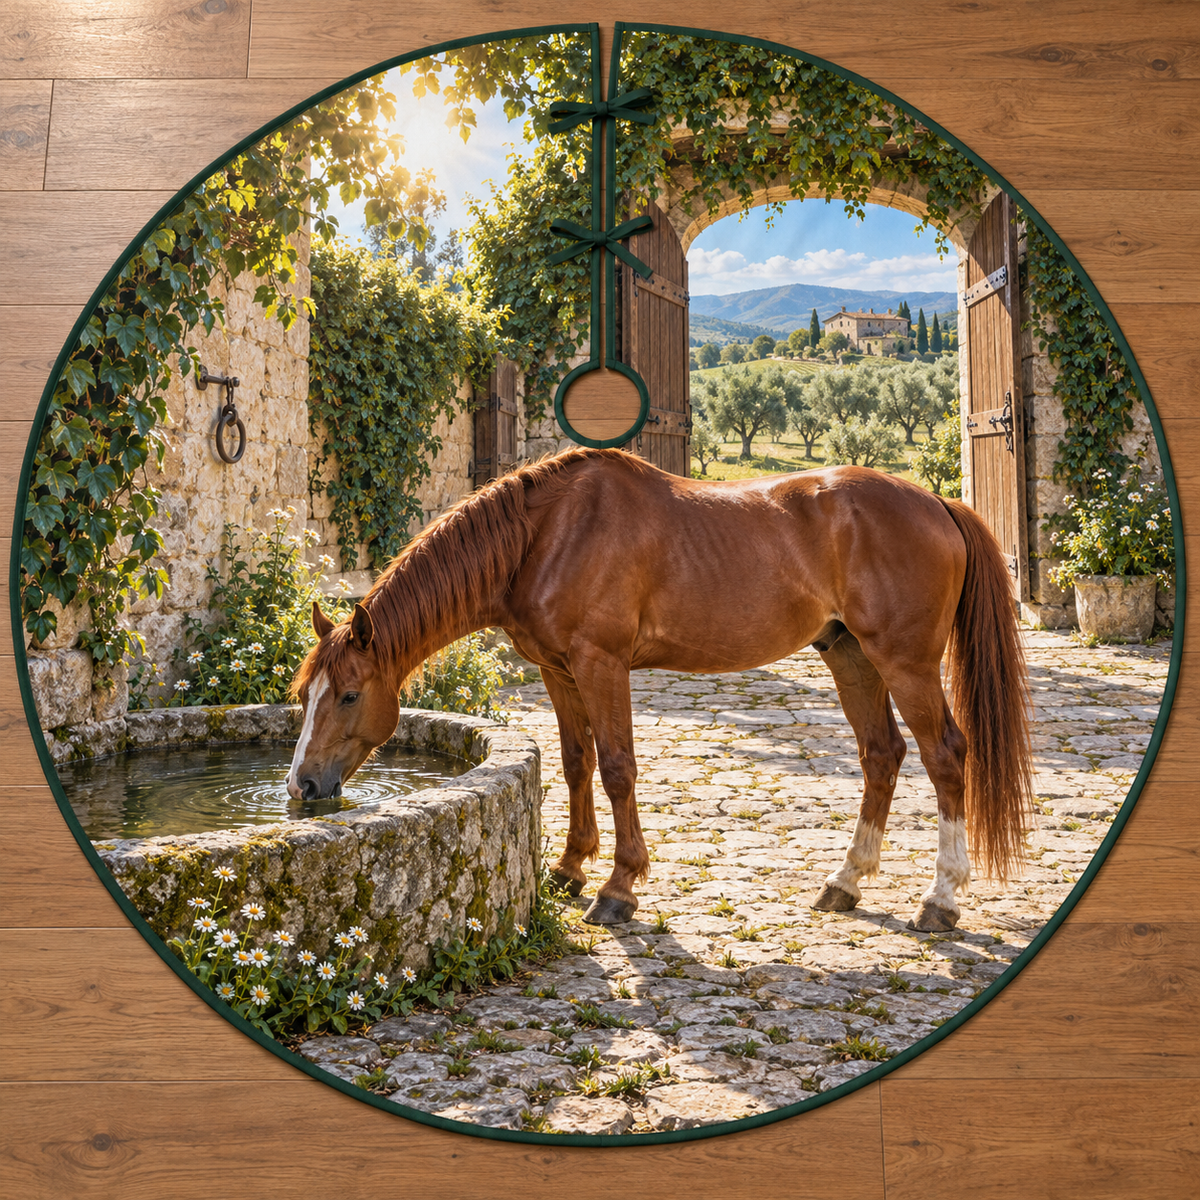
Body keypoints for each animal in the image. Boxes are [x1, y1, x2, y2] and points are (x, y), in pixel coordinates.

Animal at [288, 446, 1032, 933]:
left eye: (348, 695)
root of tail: (937, 501)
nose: (301, 785)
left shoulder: (601, 664)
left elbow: (618, 768)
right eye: (303, 696)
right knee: (882, 755)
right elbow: (576, 763)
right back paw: (843, 883)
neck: (548, 532)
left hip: (905, 663)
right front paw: (569, 868)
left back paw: (941, 900)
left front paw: (618, 888)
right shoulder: (558, 669)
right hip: (850, 655)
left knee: (945, 756)